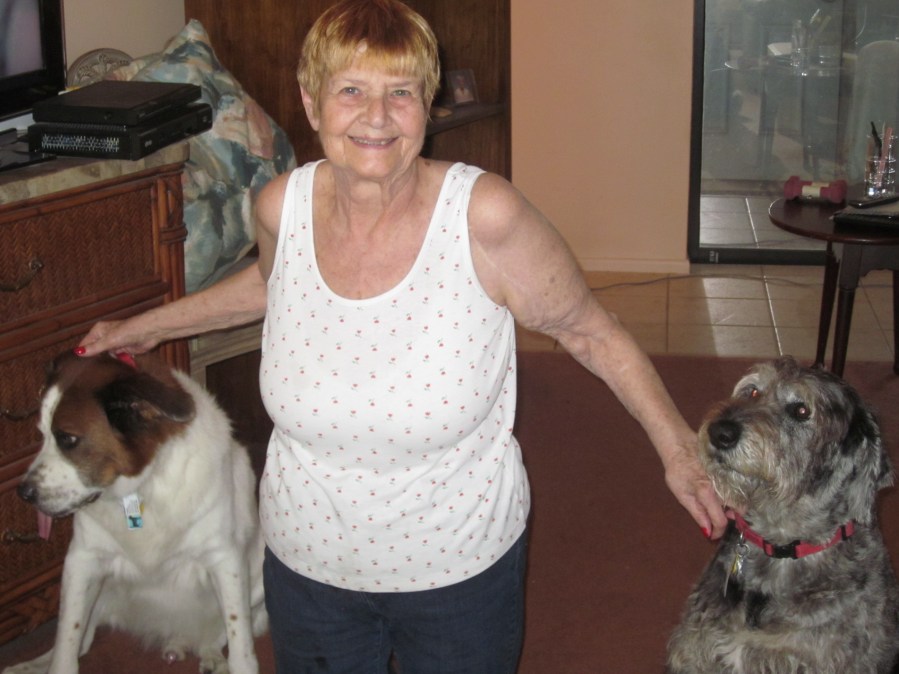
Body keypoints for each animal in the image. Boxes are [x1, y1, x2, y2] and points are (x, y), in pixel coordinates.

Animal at [4, 351, 267, 674]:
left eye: (68, 439)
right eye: (41, 434)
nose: (24, 493)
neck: (141, 487)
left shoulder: (225, 559)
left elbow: (239, 637)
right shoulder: (81, 560)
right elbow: (67, 638)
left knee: (217, 633)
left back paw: (209, 655)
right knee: (83, 640)